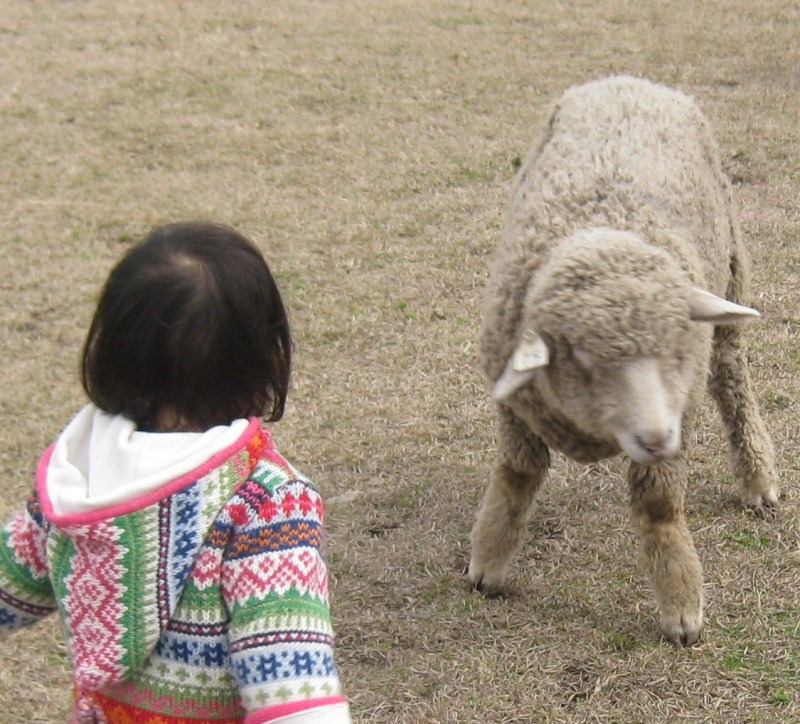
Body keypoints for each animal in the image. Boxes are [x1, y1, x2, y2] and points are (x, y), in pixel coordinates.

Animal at [466, 76, 780, 648]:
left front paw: (681, 605)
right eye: (582, 358)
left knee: (732, 377)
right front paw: (489, 561)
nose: (656, 439)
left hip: (731, 274)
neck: (601, 225)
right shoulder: (516, 406)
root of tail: (627, 81)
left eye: (677, 344)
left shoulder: (679, 413)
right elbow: (519, 473)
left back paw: (757, 477)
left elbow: (660, 507)